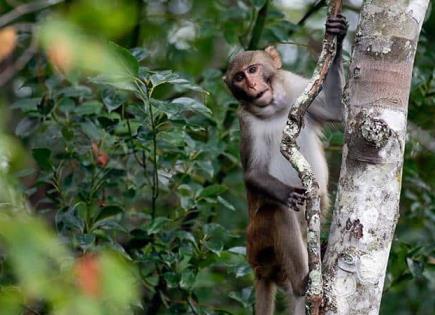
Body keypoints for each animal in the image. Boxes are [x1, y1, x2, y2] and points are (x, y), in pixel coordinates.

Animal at [225, 15, 348, 315]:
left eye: (253, 69)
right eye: (239, 77)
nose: (252, 86)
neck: (273, 108)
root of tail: (258, 269)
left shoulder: (295, 87)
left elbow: (334, 110)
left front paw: (337, 35)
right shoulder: (247, 123)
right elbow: (253, 173)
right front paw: (286, 193)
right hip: (259, 242)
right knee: (276, 212)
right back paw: (303, 283)